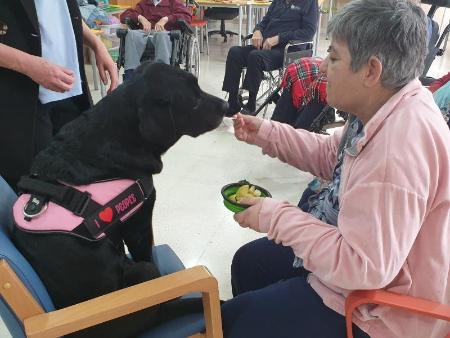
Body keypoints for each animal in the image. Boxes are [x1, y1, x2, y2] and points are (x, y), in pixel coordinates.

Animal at [12, 62, 227, 336]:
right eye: (195, 100)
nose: (226, 106)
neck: (116, 136)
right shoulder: (139, 227)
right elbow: (147, 254)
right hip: (143, 273)